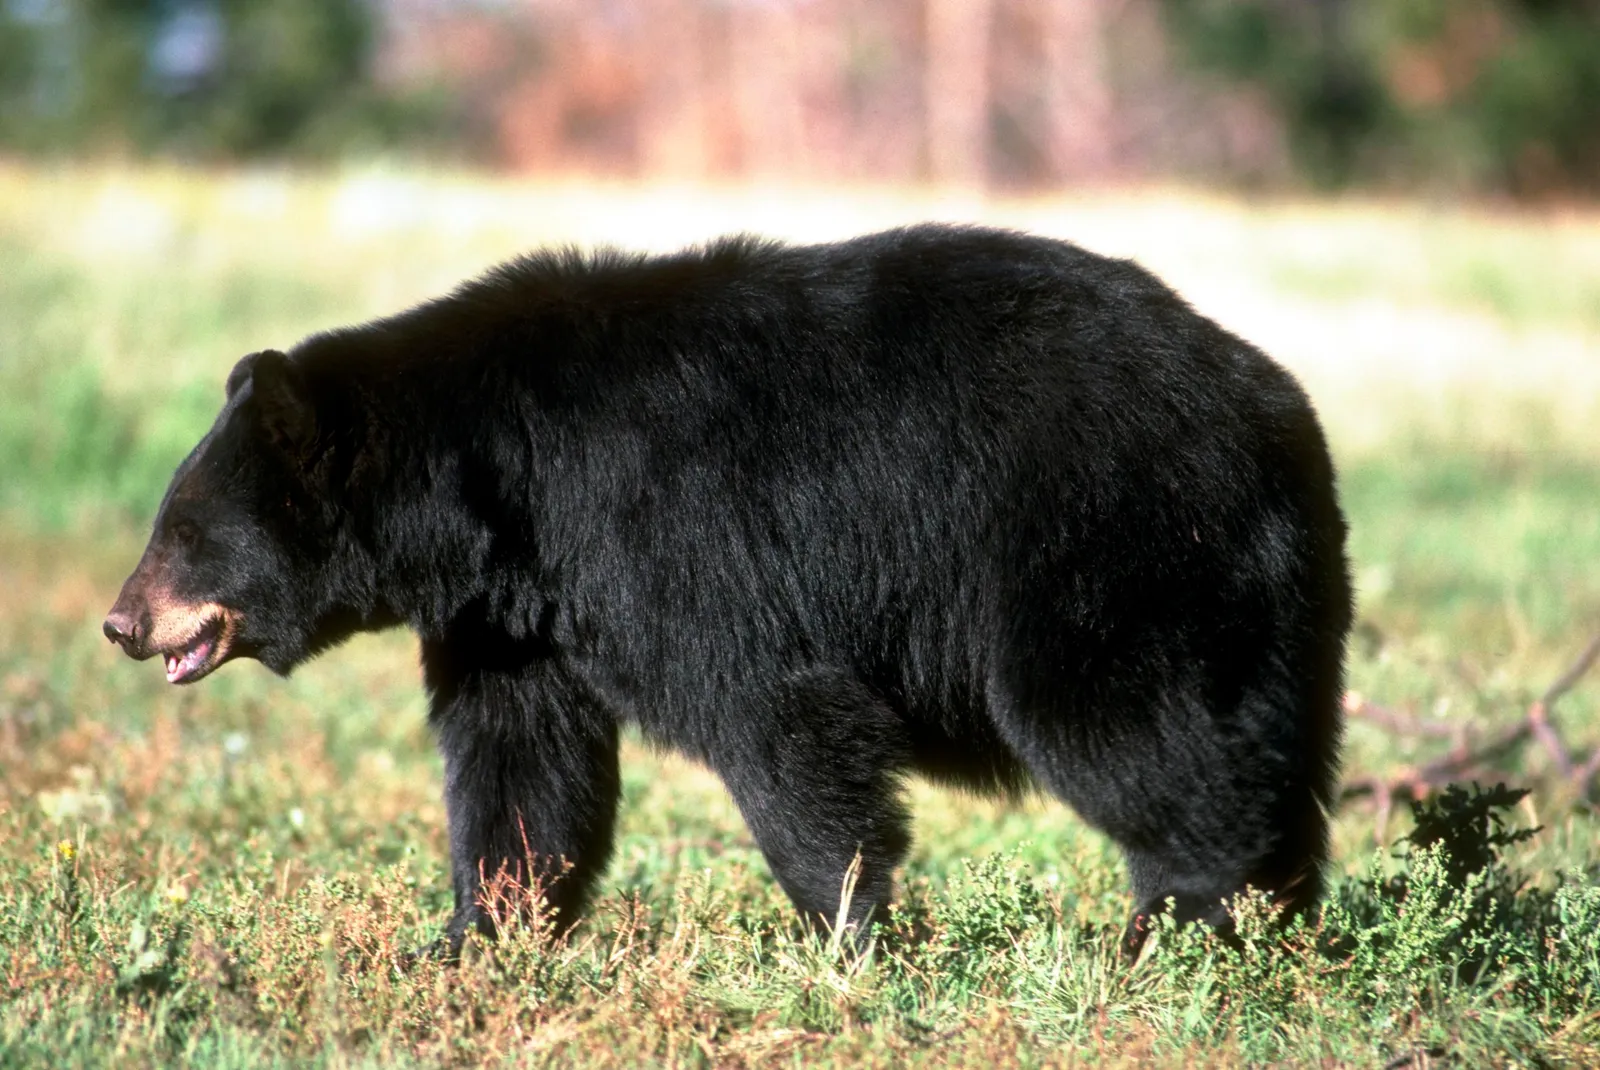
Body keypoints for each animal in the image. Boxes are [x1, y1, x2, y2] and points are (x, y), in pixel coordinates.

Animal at [104, 224, 1351, 961]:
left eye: (185, 529)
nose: (122, 619)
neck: (500, 486)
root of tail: (1275, 404)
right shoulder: (514, 617)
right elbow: (520, 765)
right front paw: (473, 940)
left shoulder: (669, 528)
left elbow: (775, 714)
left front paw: (850, 937)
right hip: (1270, 596)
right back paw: (1276, 919)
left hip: (1108, 538)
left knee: (1131, 731)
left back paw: (1180, 926)